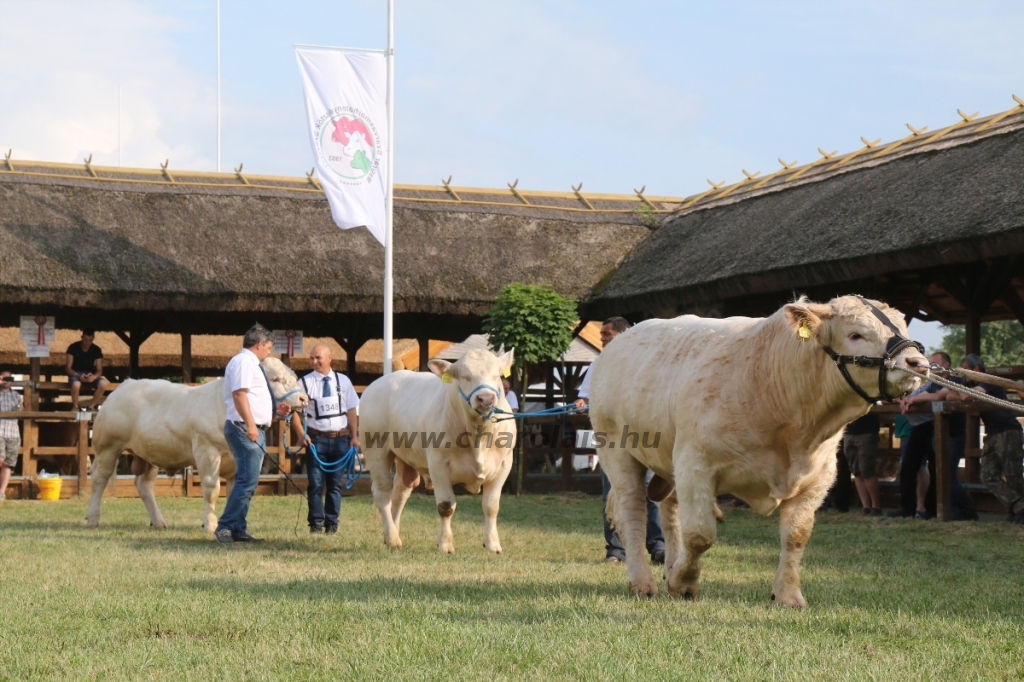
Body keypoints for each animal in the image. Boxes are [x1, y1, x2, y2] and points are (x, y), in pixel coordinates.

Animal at [84, 356, 307, 532]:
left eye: (293, 375)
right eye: (275, 378)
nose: (304, 398)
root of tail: (126, 385)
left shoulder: (238, 459)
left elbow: (234, 492)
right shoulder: (207, 451)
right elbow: (212, 489)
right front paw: (210, 524)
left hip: (151, 452)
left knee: (144, 484)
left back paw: (158, 521)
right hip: (107, 447)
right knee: (99, 479)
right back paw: (93, 519)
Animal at [362, 348, 520, 548]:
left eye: (497, 375)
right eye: (465, 376)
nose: (485, 398)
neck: (479, 436)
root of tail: (377, 383)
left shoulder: (504, 464)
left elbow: (491, 506)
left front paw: (492, 544)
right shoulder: (438, 464)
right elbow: (445, 506)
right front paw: (445, 543)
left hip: (405, 458)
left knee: (400, 492)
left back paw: (394, 533)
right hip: (376, 450)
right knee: (383, 494)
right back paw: (391, 537)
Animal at [589, 294, 933, 602]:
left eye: (902, 327)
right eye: (856, 334)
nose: (918, 363)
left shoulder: (818, 478)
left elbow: (796, 536)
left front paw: (788, 594)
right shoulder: (695, 464)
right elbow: (700, 534)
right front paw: (683, 583)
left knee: (669, 511)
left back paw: (670, 564)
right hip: (617, 451)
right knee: (632, 513)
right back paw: (642, 582)